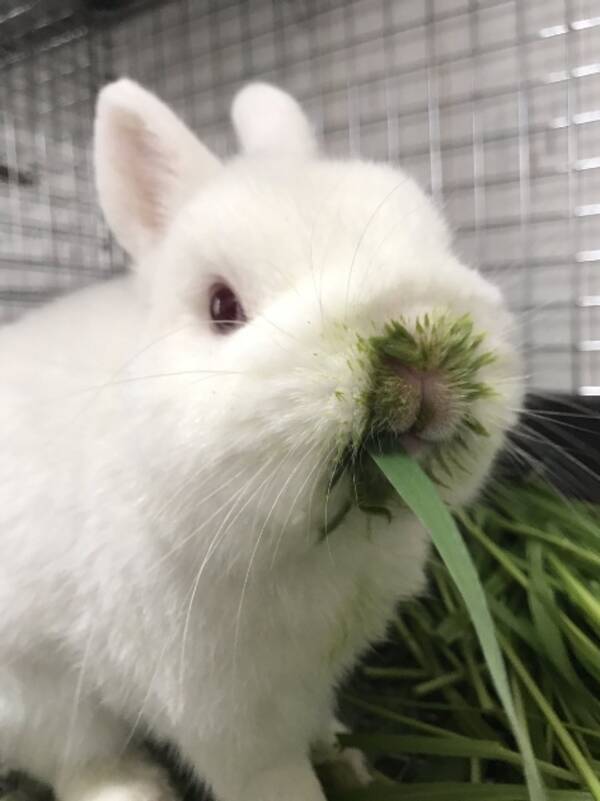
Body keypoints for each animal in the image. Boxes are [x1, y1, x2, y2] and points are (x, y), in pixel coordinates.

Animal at [0, 76, 524, 800]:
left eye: (437, 246)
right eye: (223, 306)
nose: (418, 356)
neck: (317, 548)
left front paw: (349, 757)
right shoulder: (229, 721)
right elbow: (276, 780)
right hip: (40, 698)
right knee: (84, 763)